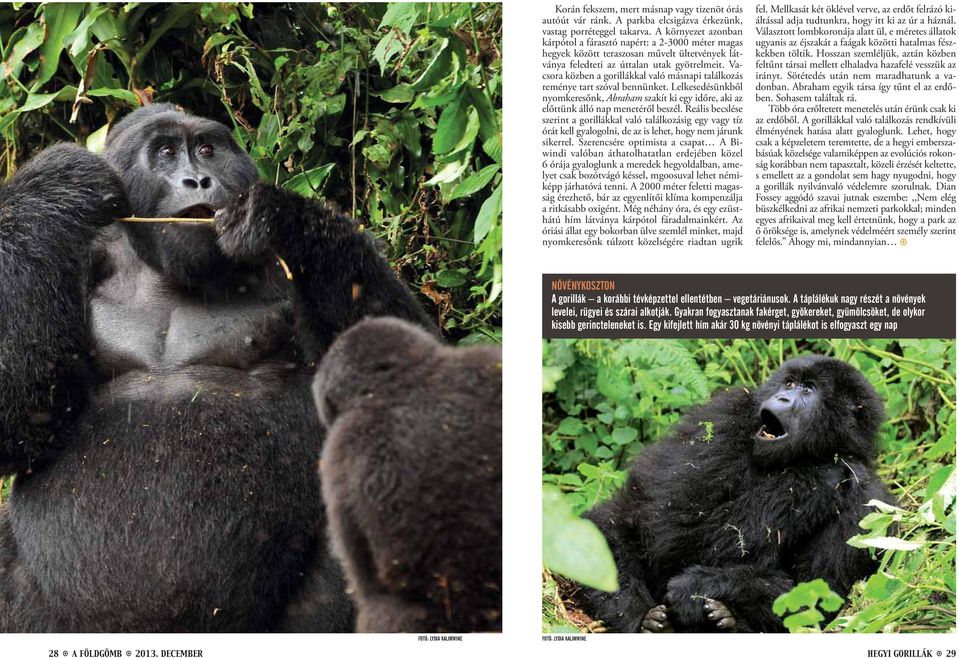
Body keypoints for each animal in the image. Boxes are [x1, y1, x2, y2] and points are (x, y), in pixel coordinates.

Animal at [0, 104, 434, 632]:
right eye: (166, 152)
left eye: (207, 149)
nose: (199, 180)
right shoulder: (79, 255)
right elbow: (24, 424)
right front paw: (57, 184)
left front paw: (286, 219)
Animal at [580, 354, 896, 632]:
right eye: (789, 383)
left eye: (808, 390)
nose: (782, 398)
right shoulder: (725, 415)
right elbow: (672, 526)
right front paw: (820, 477)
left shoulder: (869, 503)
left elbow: (814, 593)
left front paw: (700, 586)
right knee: (613, 525)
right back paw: (639, 617)